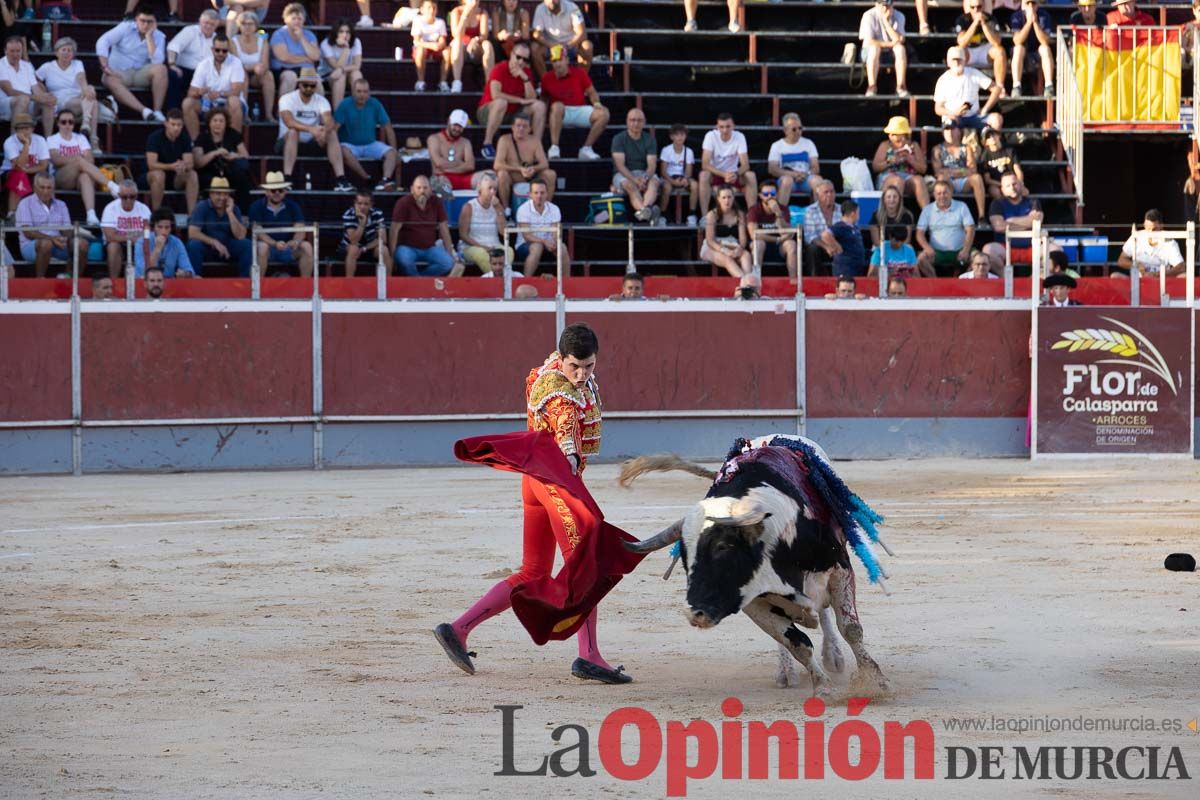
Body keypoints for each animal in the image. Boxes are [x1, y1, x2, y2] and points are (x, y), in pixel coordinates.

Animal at [619, 434, 892, 695]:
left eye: (723, 547)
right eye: (684, 558)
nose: (695, 613)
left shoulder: (839, 569)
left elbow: (850, 628)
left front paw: (876, 681)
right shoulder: (753, 602)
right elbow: (797, 643)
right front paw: (822, 686)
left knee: (825, 613)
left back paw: (833, 655)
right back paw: (786, 671)